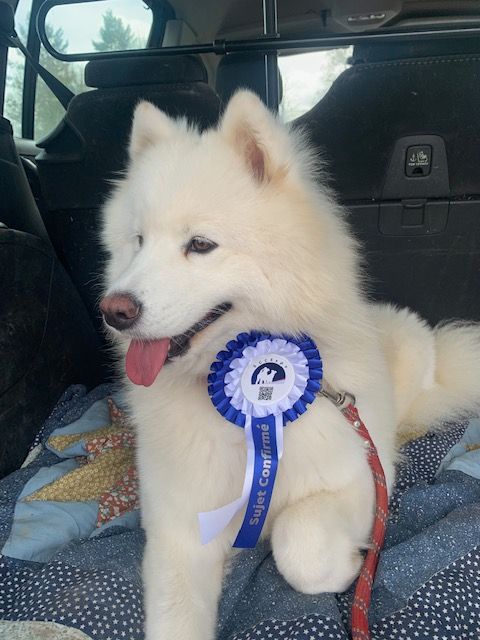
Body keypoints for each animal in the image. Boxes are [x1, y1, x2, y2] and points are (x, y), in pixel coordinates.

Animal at [100, 90, 480, 640]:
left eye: (200, 245)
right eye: (138, 241)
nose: (114, 310)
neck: (243, 405)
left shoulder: (363, 479)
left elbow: (299, 542)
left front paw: (351, 567)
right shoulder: (181, 525)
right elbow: (175, 616)